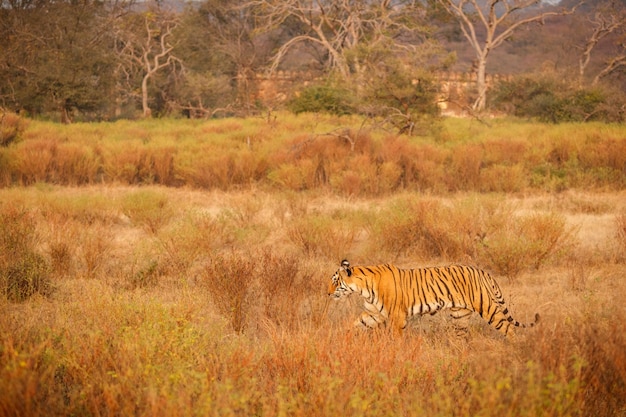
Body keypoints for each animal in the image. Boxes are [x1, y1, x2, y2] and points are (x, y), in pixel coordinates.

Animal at [326, 260, 536, 334]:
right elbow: (353, 324)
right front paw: (338, 336)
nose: (327, 293)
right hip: (460, 315)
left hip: (487, 308)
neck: (363, 288)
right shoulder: (372, 314)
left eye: (335, 281)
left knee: (508, 327)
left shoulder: (397, 316)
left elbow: (396, 337)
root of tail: (482, 271)